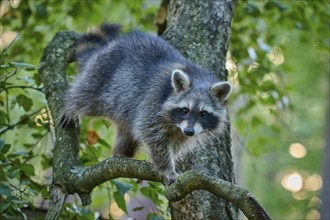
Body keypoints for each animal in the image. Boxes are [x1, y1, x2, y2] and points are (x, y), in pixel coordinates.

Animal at [61, 23, 232, 186]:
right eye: (185, 110)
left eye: (203, 113)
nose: (189, 131)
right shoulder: (152, 103)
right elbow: (151, 134)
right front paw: (167, 168)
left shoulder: (181, 131)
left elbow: (174, 144)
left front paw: (170, 160)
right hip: (100, 75)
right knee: (85, 96)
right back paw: (71, 106)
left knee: (127, 129)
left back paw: (121, 152)